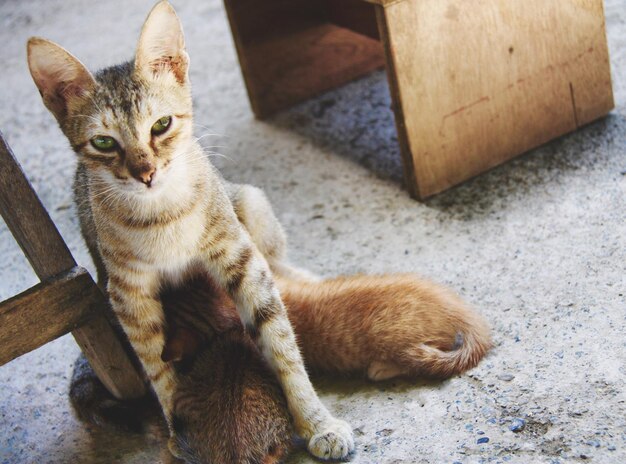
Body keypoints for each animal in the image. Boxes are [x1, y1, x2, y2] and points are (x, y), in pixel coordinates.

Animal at [26, 0, 354, 460]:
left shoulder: (239, 257)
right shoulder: (129, 296)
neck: (161, 216)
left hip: (248, 202)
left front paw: (316, 421)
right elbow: (158, 370)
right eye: (104, 143)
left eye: (161, 124)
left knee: (280, 264)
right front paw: (176, 431)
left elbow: (281, 343)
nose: (145, 173)